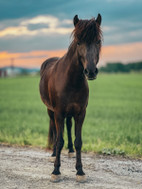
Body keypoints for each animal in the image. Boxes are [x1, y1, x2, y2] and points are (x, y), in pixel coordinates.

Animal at [39, 14, 102, 182]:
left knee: (68, 126)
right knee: (55, 130)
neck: (71, 80)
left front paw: (80, 171)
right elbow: (59, 140)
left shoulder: (80, 113)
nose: (91, 71)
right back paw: (54, 153)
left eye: (98, 41)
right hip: (50, 111)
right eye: (78, 42)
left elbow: (78, 141)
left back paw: (71, 151)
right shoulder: (58, 113)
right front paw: (56, 171)